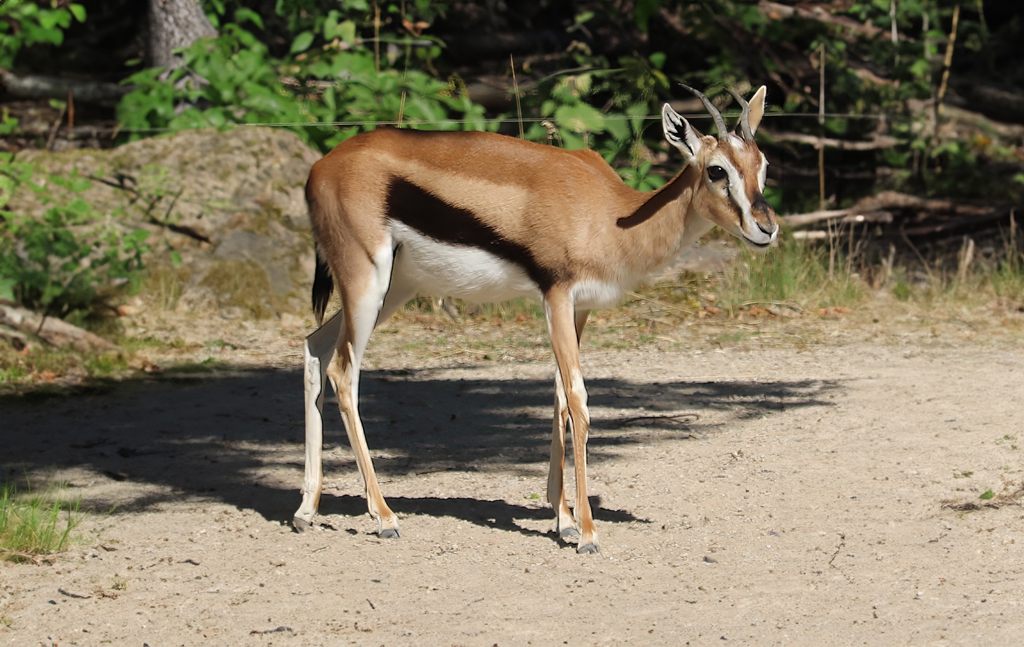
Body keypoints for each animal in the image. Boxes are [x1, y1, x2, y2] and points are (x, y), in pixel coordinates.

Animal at [295, 85, 777, 553]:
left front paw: (563, 520)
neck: (610, 215)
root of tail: (321, 166)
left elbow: (560, 397)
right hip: (367, 281)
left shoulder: (579, 308)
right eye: (717, 170)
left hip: (395, 287)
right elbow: (578, 401)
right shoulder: (556, 297)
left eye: (763, 165)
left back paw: (306, 510)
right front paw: (587, 533)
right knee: (343, 372)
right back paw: (384, 518)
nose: (767, 228)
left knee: (315, 346)